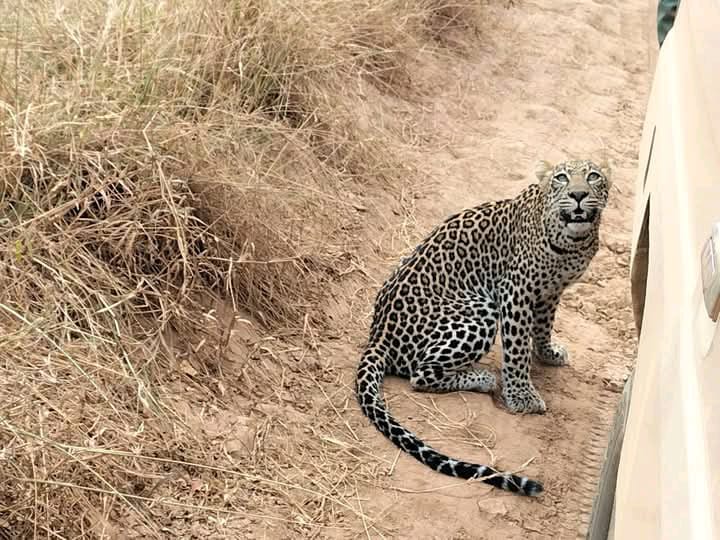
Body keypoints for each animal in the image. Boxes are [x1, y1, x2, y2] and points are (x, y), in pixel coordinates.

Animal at [355, 159, 611, 496]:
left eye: (593, 176)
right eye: (561, 178)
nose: (579, 195)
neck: (573, 243)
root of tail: (378, 334)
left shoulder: (551, 291)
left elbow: (545, 325)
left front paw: (549, 353)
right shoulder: (515, 291)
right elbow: (517, 350)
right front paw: (522, 397)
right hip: (482, 310)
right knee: (420, 375)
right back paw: (483, 378)